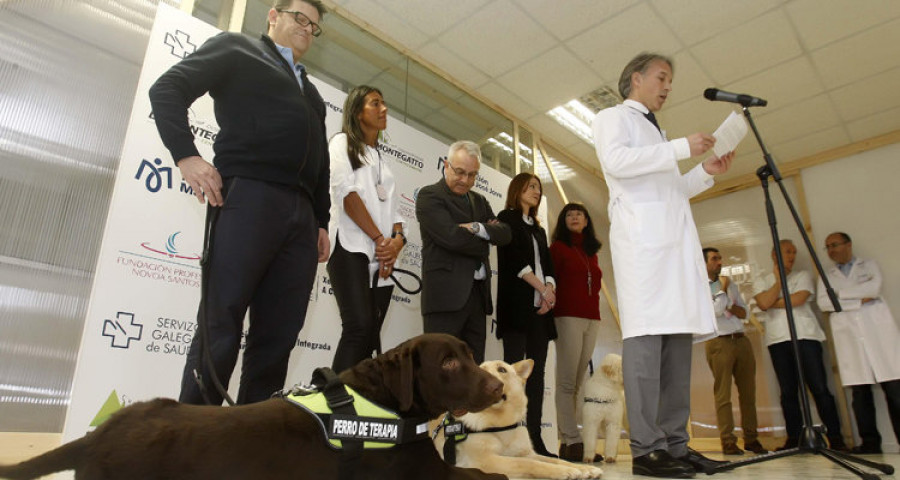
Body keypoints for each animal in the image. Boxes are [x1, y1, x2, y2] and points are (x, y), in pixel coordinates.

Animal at [0, 334, 506, 480]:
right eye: (448, 362)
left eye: (470, 354)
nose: (499, 387)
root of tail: (98, 434)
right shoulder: (428, 476)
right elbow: (490, 475)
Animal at [430, 360, 600, 480]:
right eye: (481, 368)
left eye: (502, 370)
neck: (502, 424)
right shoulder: (485, 461)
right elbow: (528, 463)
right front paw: (567, 471)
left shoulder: (527, 453)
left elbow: (554, 460)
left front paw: (583, 468)